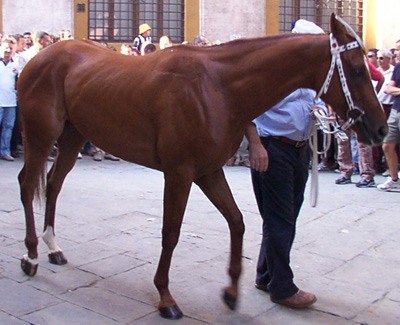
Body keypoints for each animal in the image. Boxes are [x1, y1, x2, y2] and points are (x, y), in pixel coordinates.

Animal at [18, 13, 388, 318]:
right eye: (357, 70)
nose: (381, 129)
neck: (218, 88)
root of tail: (38, 59)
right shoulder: (179, 174)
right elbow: (171, 233)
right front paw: (166, 297)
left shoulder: (209, 172)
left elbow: (237, 222)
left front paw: (231, 292)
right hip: (40, 136)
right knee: (28, 184)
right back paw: (31, 256)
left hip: (72, 137)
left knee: (53, 183)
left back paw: (53, 247)